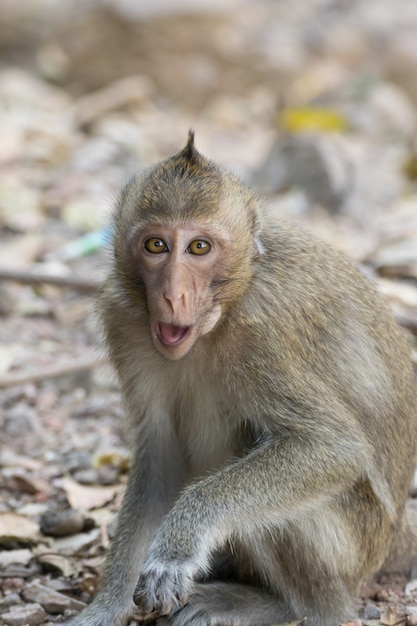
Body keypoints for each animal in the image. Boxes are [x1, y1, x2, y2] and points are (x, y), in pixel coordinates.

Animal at [65, 129, 416, 620]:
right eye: (157, 245)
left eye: (199, 247)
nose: (173, 296)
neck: (229, 304)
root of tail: (394, 537)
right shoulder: (123, 321)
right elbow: (160, 459)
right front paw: (105, 608)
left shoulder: (262, 332)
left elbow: (332, 447)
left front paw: (179, 544)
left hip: (350, 550)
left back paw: (290, 608)